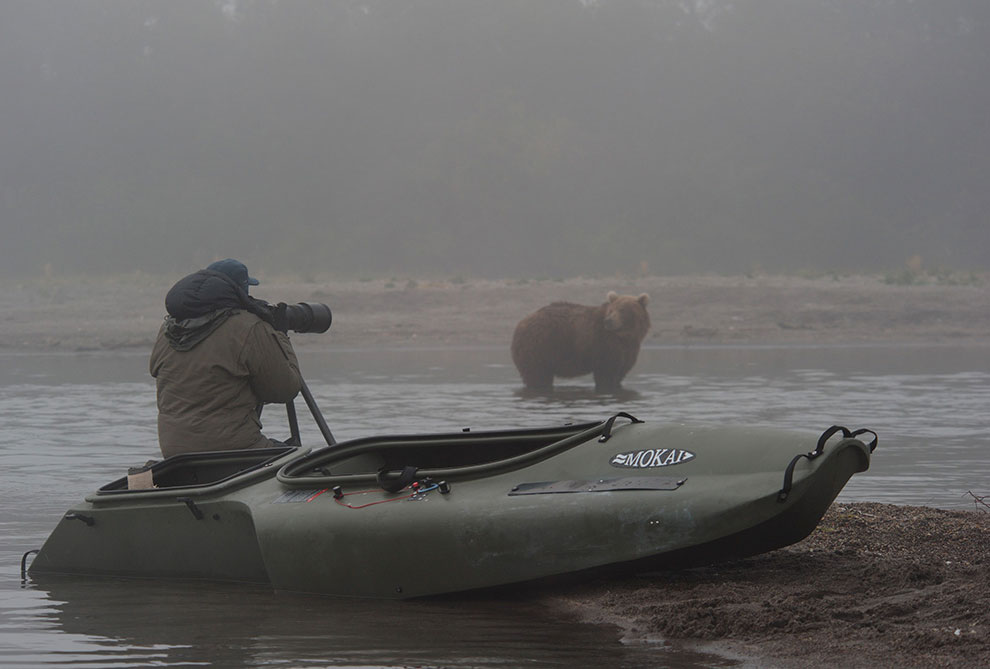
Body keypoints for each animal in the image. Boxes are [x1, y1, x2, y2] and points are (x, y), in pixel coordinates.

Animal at [512, 290, 652, 392]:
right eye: (612, 310)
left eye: (622, 310)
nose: (609, 321)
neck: (624, 336)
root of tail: (520, 324)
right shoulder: (604, 345)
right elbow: (606, 374)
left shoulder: (628, 350)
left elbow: (620, 372)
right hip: (539, 347)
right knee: (538, 376)